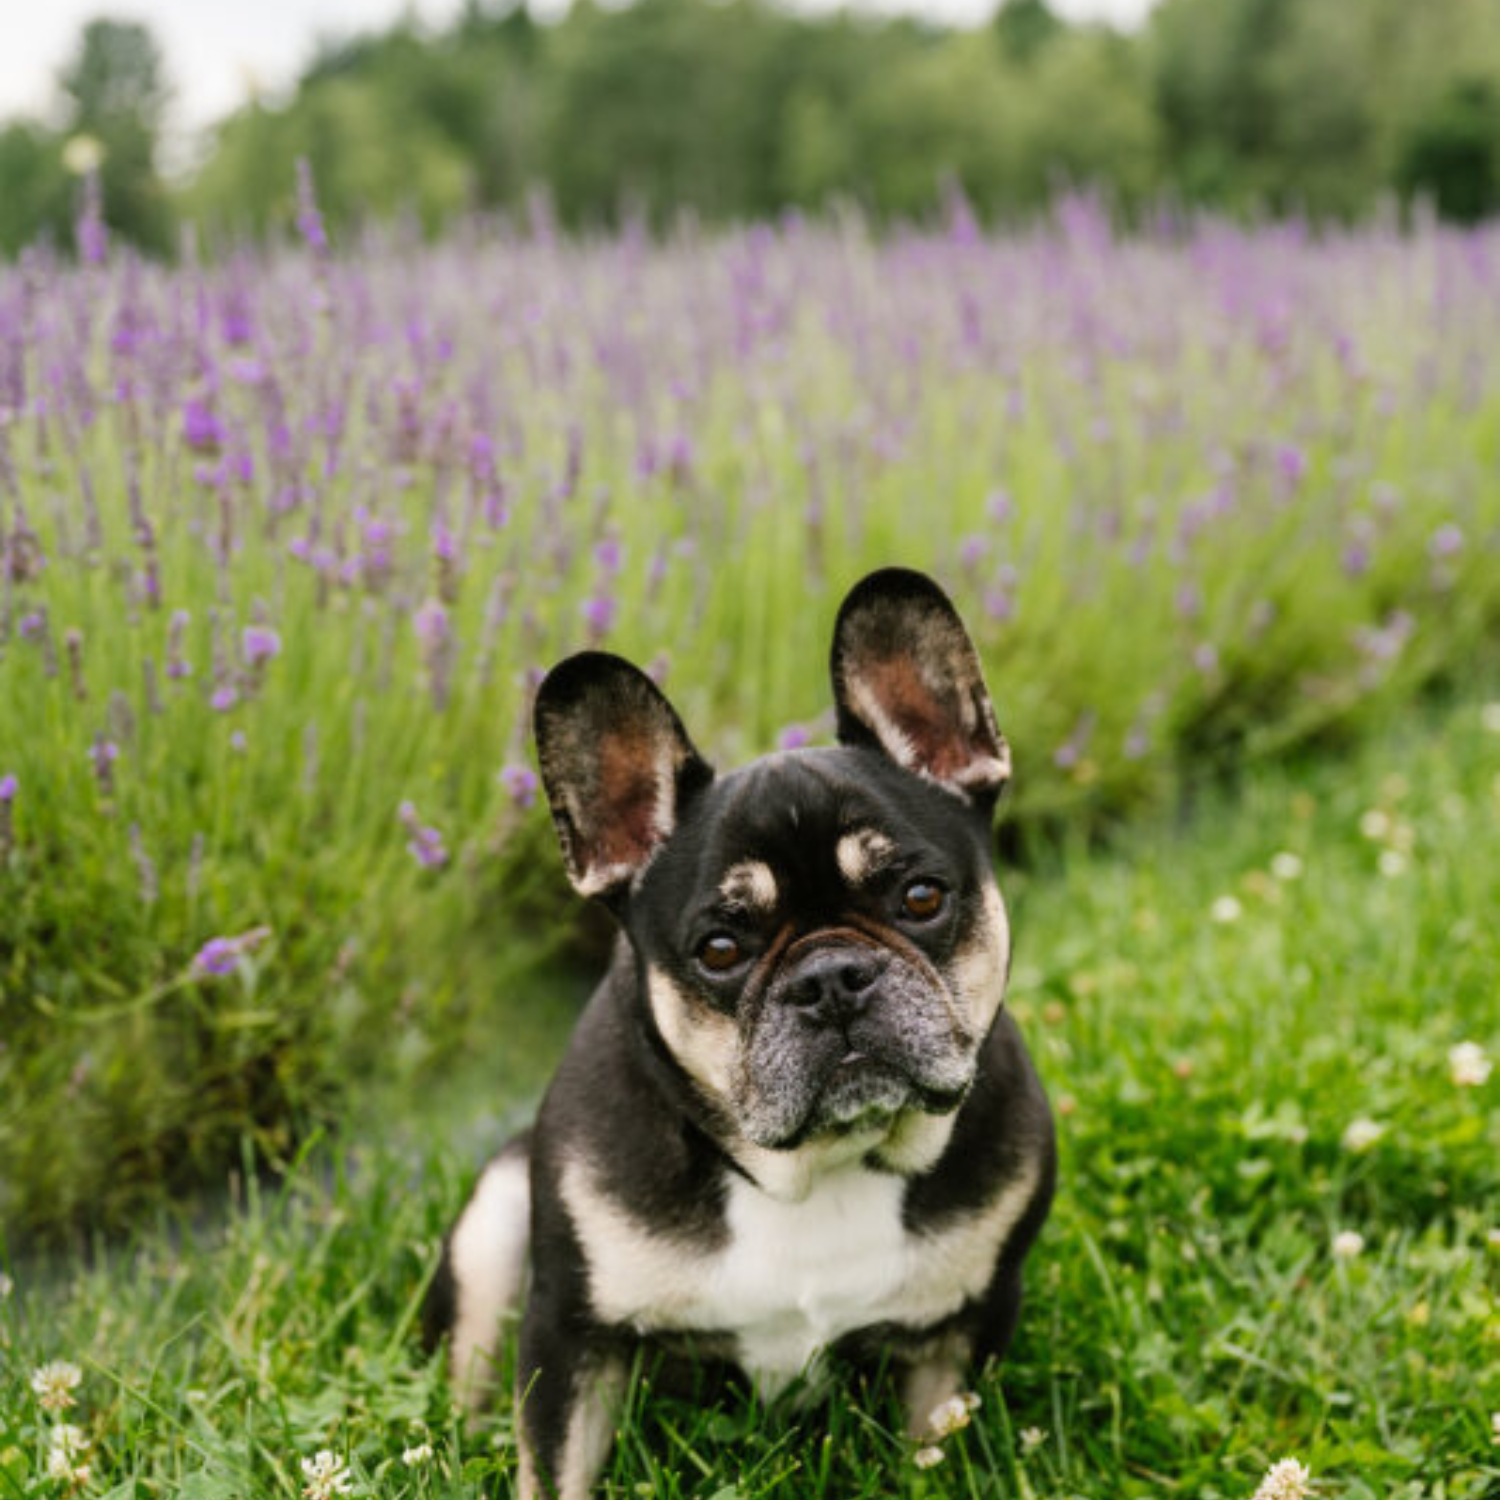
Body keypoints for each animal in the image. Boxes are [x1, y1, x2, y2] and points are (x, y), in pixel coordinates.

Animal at [423, 564, 1056, 1500]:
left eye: (920, 898)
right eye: (719, 950)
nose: (830, 980)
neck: (822, 1168)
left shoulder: (958, 1336)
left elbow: (932, 1451)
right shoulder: (570, 1341)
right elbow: (552, 1466)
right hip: (496, 1215)